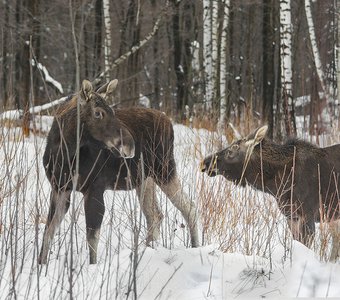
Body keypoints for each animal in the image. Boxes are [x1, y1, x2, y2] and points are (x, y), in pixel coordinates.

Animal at [39, 78, 199, 264]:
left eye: (113, 111)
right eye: (98, 113)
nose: (130, 146)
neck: (63, 153)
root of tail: (169, 122)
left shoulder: (94, 188)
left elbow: (92, 237)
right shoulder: (59, 188)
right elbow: (48, 230)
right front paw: (41, 263)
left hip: (165, 169)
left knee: (189, 207)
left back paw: (195, 246)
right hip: (145, 179)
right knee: (155, 215)